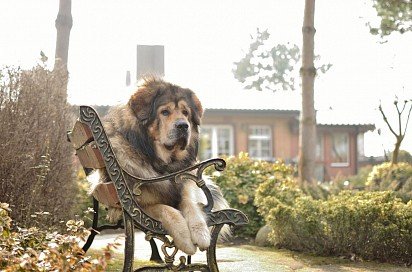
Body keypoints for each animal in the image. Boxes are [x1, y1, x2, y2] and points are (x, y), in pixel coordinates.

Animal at [87, 76, 229, 255]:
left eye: (185, 113)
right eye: (165, 112)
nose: (183, 125)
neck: (161, 163)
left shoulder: (186, 183)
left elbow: (189, 202)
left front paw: (200, 232)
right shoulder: (139, 206)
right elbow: (167, 209)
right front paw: (185, 239)